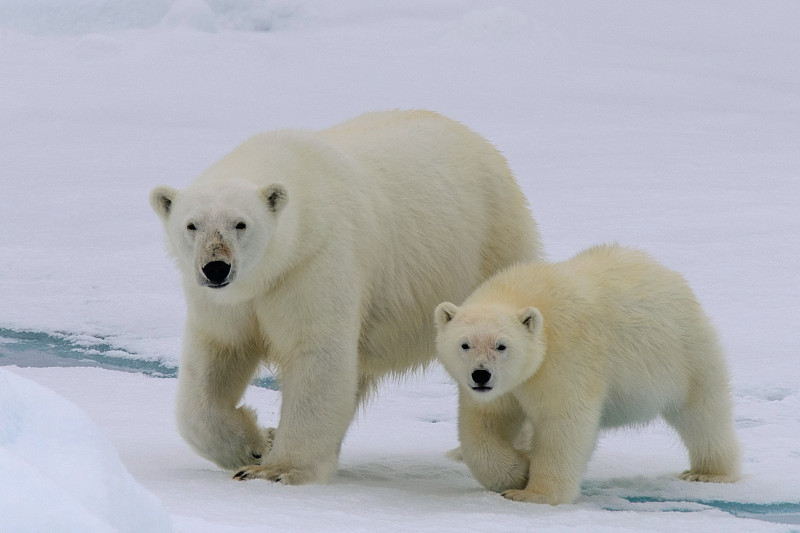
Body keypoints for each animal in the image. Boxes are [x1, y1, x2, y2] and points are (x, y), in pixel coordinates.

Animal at [149, 110, 540, 484]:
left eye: (241, 224)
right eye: (192, 225)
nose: (216, 268)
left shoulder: (315, 262)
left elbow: (316, 353)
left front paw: (277, 469)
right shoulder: (227, 304)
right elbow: (215, 357)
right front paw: (255, 445)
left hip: (489, 247)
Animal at [434, 244, 740, 502]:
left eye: (501, 345)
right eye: (465, 344)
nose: (481, 375)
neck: (523, 291)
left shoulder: (565, 357)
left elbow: (563, 423)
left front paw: (535, 494)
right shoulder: (505, 387)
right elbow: (485, 423)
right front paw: (518, 471)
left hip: (685, 354)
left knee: (703, 413)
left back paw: (707, 472)